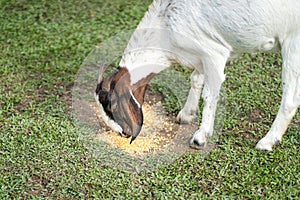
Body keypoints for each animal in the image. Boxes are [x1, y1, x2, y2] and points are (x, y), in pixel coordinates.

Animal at [95, 0, 298, 150]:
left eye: (111, 105)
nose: (123, 133)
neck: (166, 21)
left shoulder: (215, 54)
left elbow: (209, 95)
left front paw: (200, 137)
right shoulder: (199, 56)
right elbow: (195, 79)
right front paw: (186, 114)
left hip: (293, 42)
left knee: (290, 99)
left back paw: (267, 141)